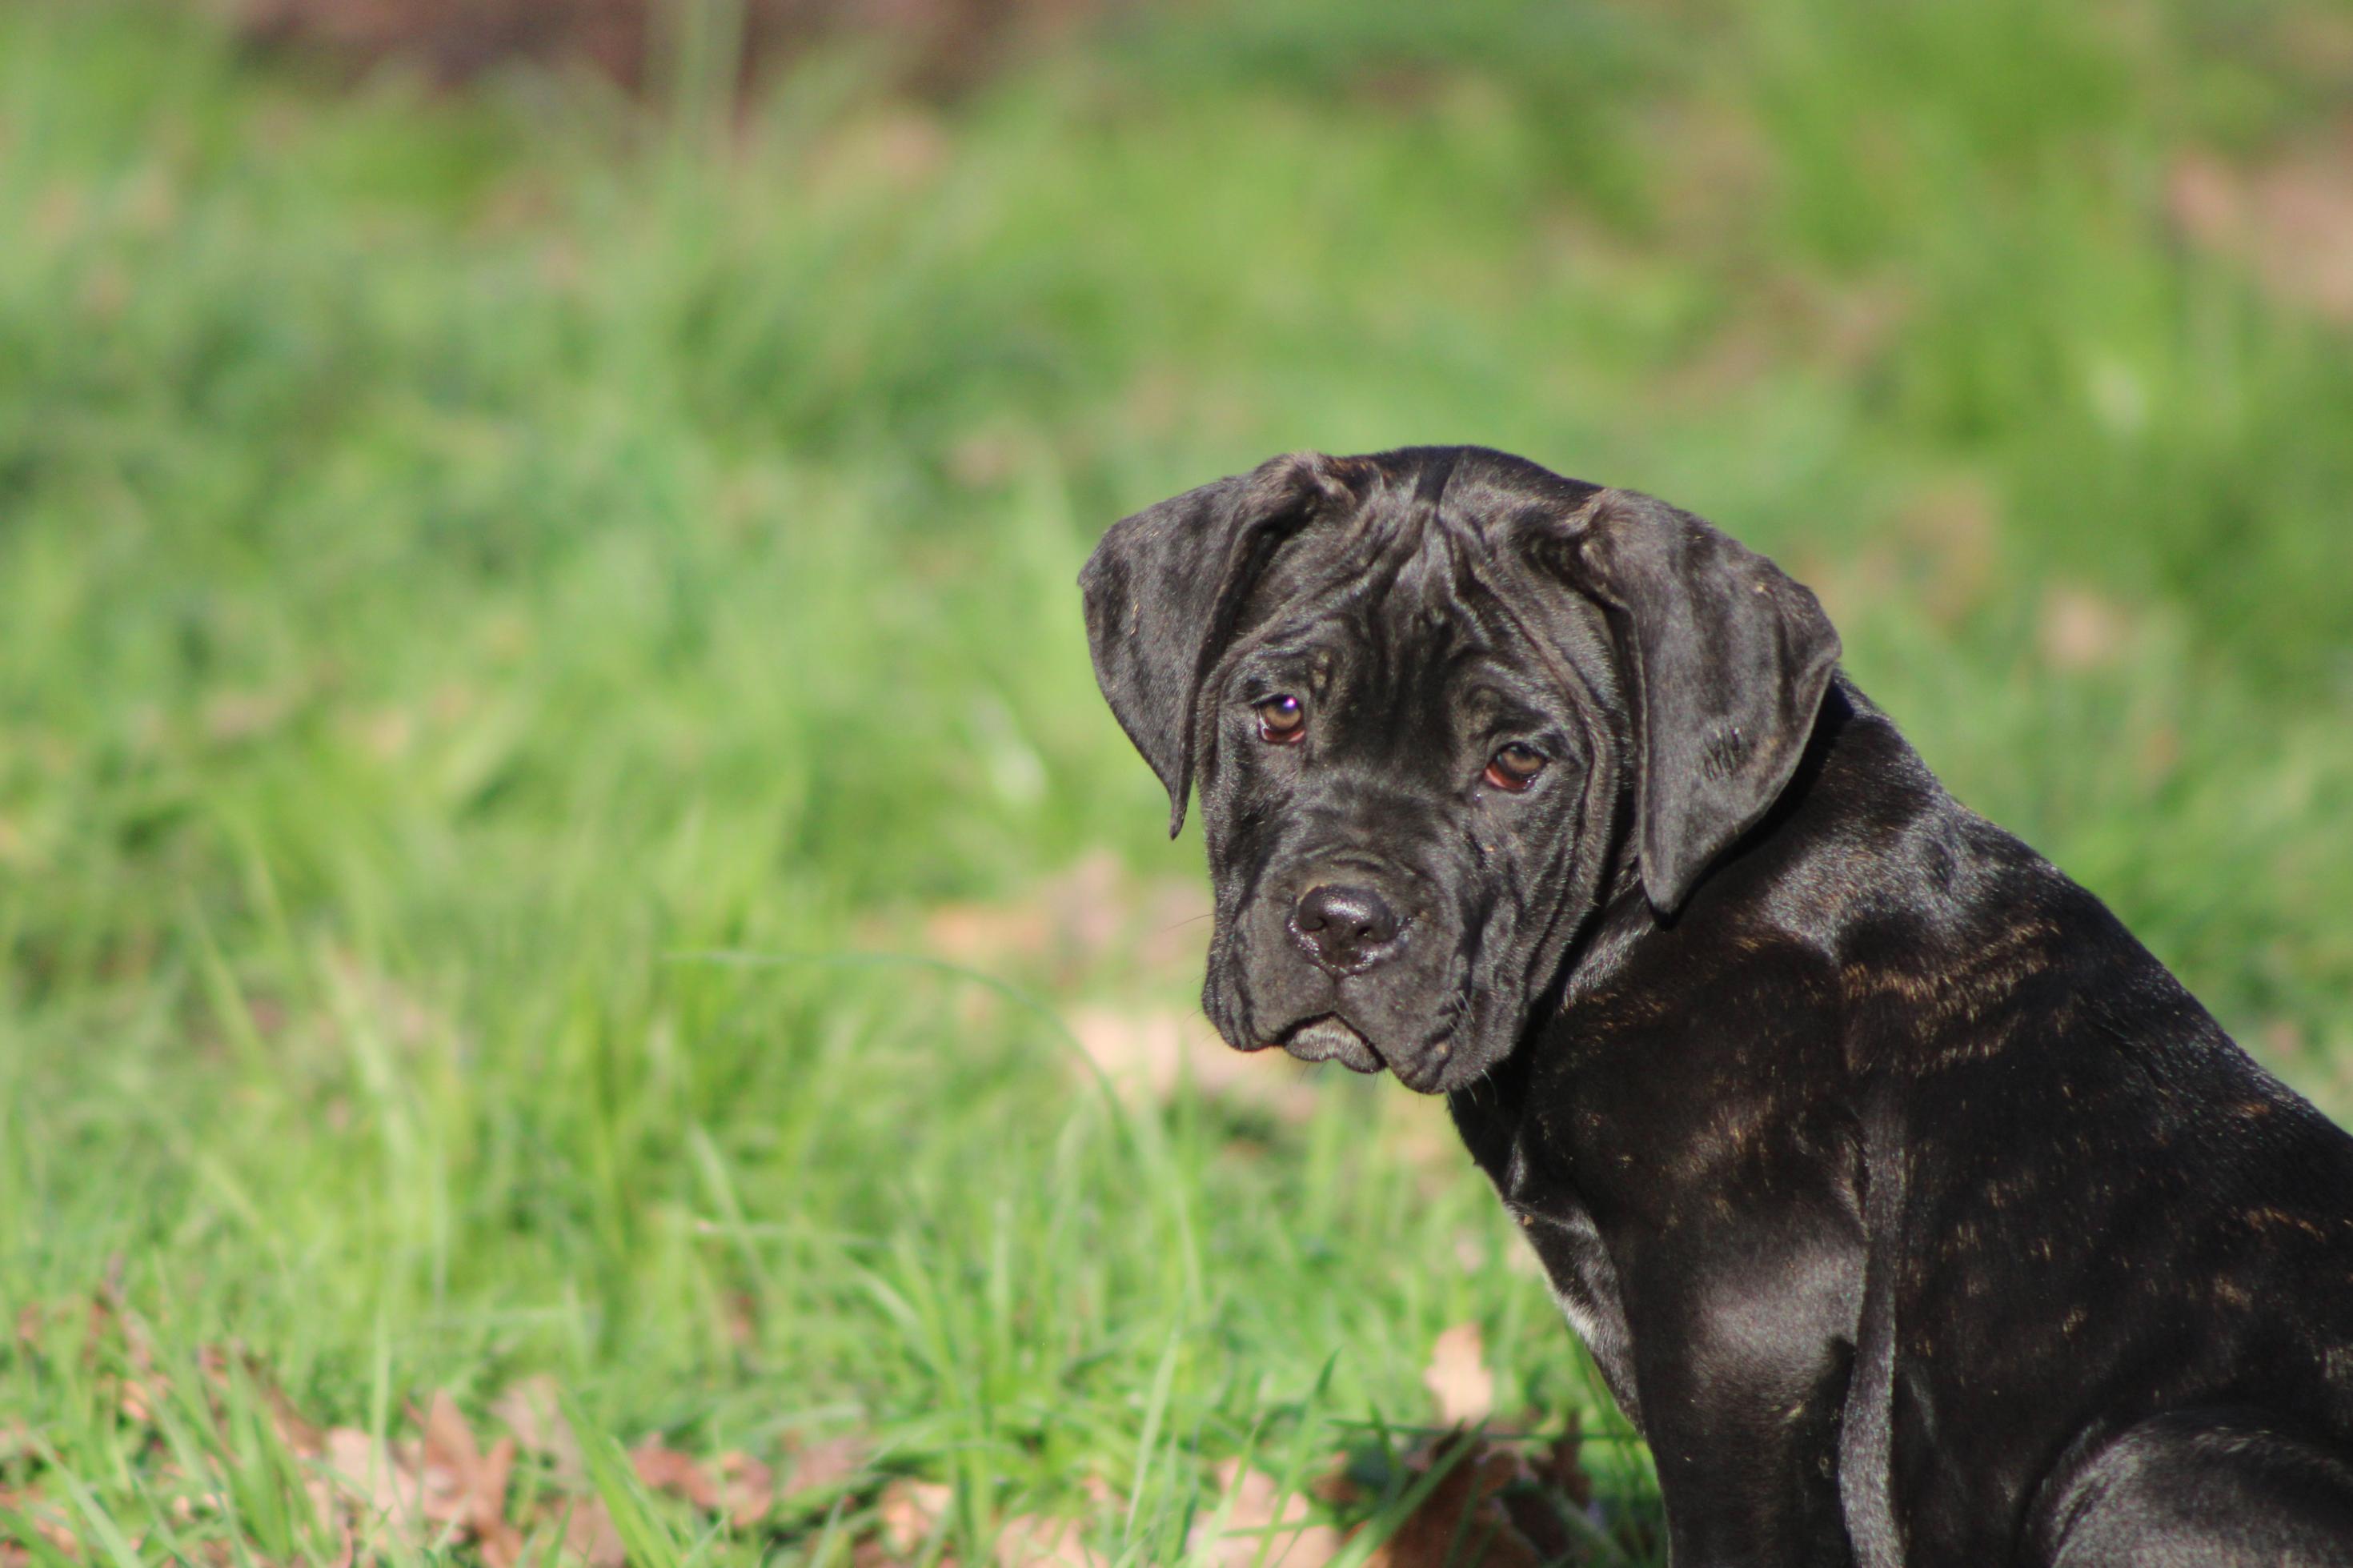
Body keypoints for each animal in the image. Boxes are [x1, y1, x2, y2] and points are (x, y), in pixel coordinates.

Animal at [1077, 444, 2353, 1554]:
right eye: (1280, 712)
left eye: (1516, 763)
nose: (1344, 920)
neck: (1660, 896)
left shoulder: (1746, 1326)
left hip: (2156, 1467)